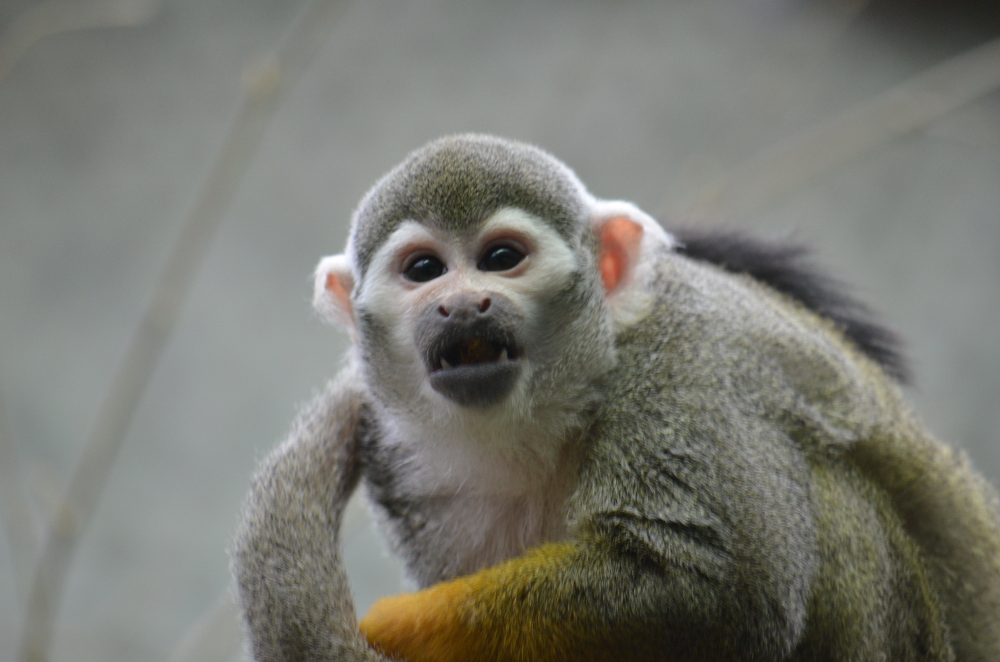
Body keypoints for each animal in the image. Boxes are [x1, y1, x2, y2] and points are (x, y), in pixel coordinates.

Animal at [230, 135, 1000, 662]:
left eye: (501, 259)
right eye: (424, 271)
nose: (462, 305)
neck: (545, 419)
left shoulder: (681, 377)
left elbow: (715, 584)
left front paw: (398, 629)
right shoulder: (404, 466)